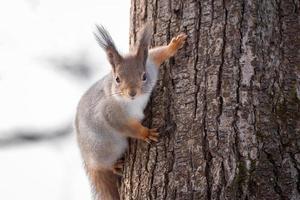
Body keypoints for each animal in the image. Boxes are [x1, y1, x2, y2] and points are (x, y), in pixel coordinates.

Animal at [75, 24, 186, 200]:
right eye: (117, 79)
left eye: (144, 76)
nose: (132, 93)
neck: (135, 101)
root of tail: (87, 158)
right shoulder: (111, 114)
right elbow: (128, 127)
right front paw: (146, 133)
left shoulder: (150, 65)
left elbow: (157, 53)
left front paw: (173, 45)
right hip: (108, 147)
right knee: (105, 166)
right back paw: (114, 166)